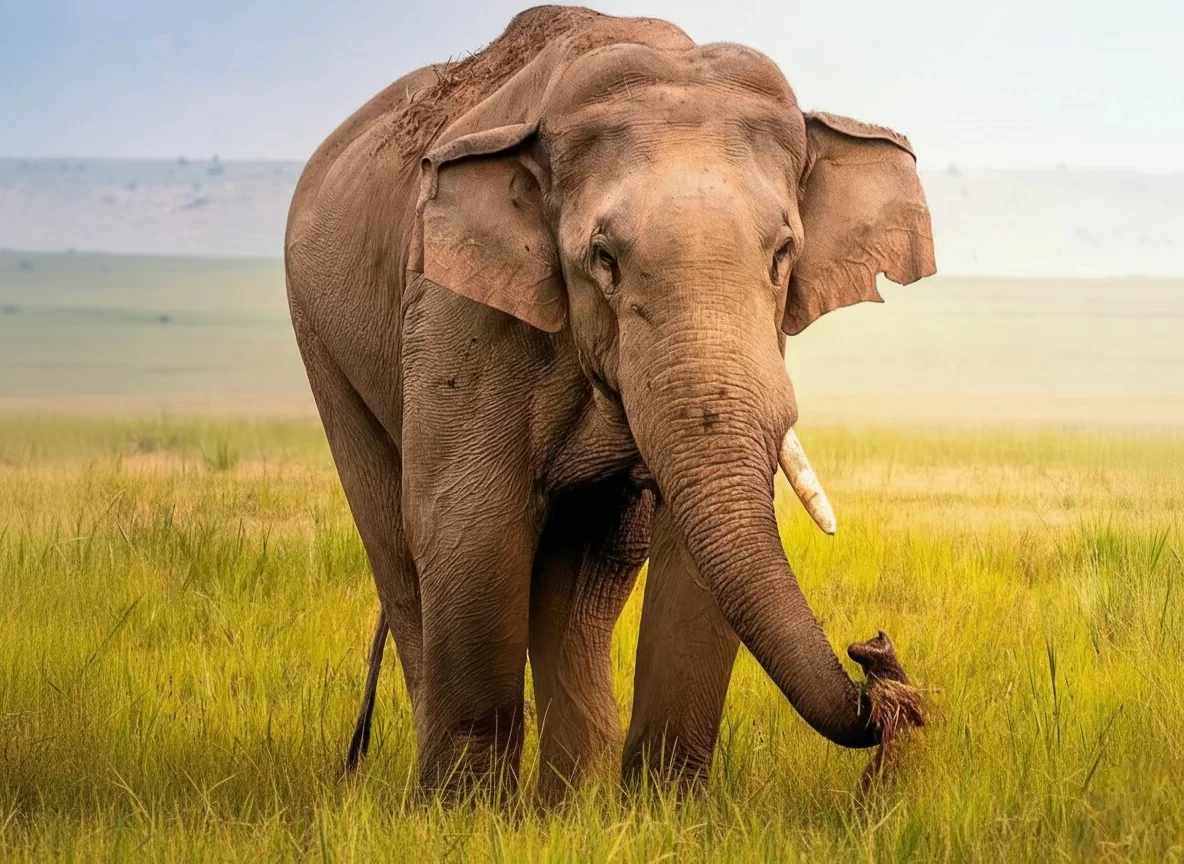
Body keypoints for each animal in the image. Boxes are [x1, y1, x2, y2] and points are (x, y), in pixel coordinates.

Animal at [284, 5, 935, 798]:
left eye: (783, 253)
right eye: (603, 258)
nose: (876, 658)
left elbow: (694, 549)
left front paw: (664, 808)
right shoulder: (453, 308)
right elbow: (471, 523)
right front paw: (465, 813)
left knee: (590, 573)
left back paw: (571, 798)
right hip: (322, 337)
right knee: (400, 551)